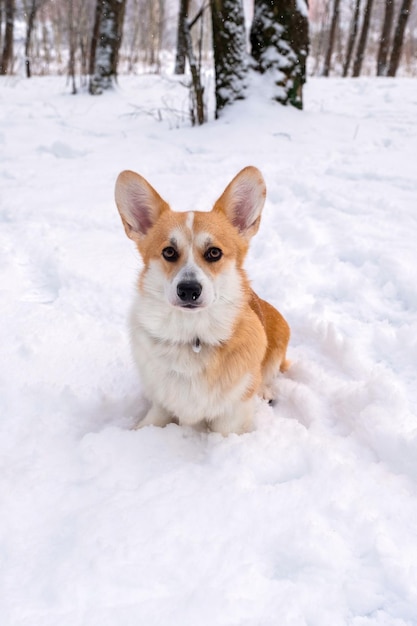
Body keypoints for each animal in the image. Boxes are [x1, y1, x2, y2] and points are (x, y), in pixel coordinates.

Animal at [114, 166, 290, 434]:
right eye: (169, 252)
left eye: (214, 253)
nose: (188, 290)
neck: (193, 336)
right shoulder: (161, 403)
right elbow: (151, 420)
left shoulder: (232, 417)